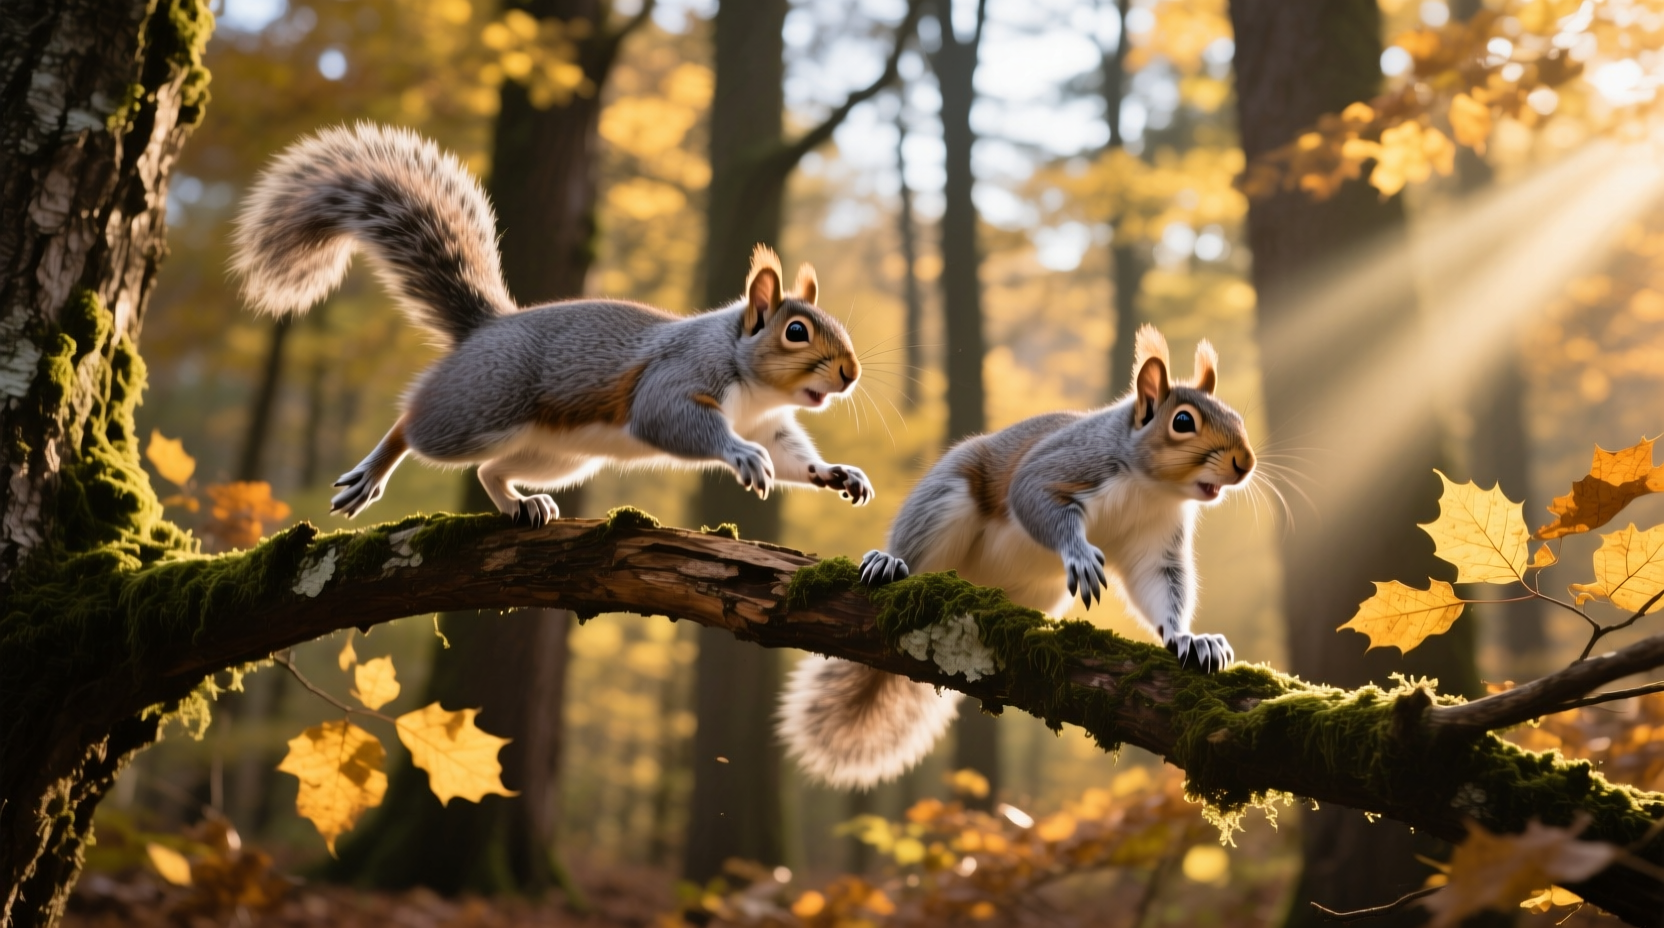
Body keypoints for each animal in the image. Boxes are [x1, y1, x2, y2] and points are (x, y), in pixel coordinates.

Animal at [230, 123, 873, 524]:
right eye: (795, 331)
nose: (851, 373)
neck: (755, 390)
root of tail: (484, 330)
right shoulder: (680, 374)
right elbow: (670, 417)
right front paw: (740, 456)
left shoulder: (770, 424)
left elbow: (793, 458)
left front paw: (838, 474)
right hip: (481, 409)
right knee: (415, 427)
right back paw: (375, 468)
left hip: (560, 455)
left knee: (491, 468)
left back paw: (523, 503)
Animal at [776, 325, 1256, 789]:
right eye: (1183, 421)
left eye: (1237, 416)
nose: (1245, 463)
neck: (1149, 487)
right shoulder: (1066, 465)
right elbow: (1033, 498)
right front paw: (1079, 554)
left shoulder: (1154, 542)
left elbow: (1159, 589)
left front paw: (1189, 639)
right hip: (945, 499)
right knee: (916, 546)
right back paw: (892, 563)